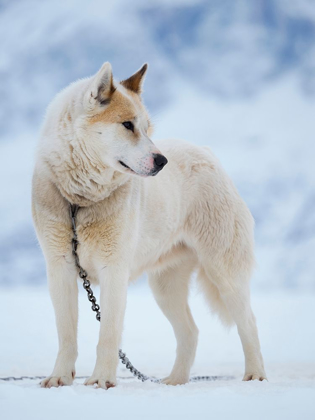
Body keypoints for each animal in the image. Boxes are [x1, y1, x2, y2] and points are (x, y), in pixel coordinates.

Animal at [32, 60, 266, 388]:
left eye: (147, 128)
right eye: (127, 125)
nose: (162, 161)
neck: (80, 201)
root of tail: (206, 152)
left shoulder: (114, 270)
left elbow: (108, 335)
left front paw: (102, 381)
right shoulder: (60, 268)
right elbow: (66, 335)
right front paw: (59, 378)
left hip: (224, 271)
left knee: (248, 323)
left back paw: (255, 375)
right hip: (165, 286)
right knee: (190, 332)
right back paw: (174, 382)